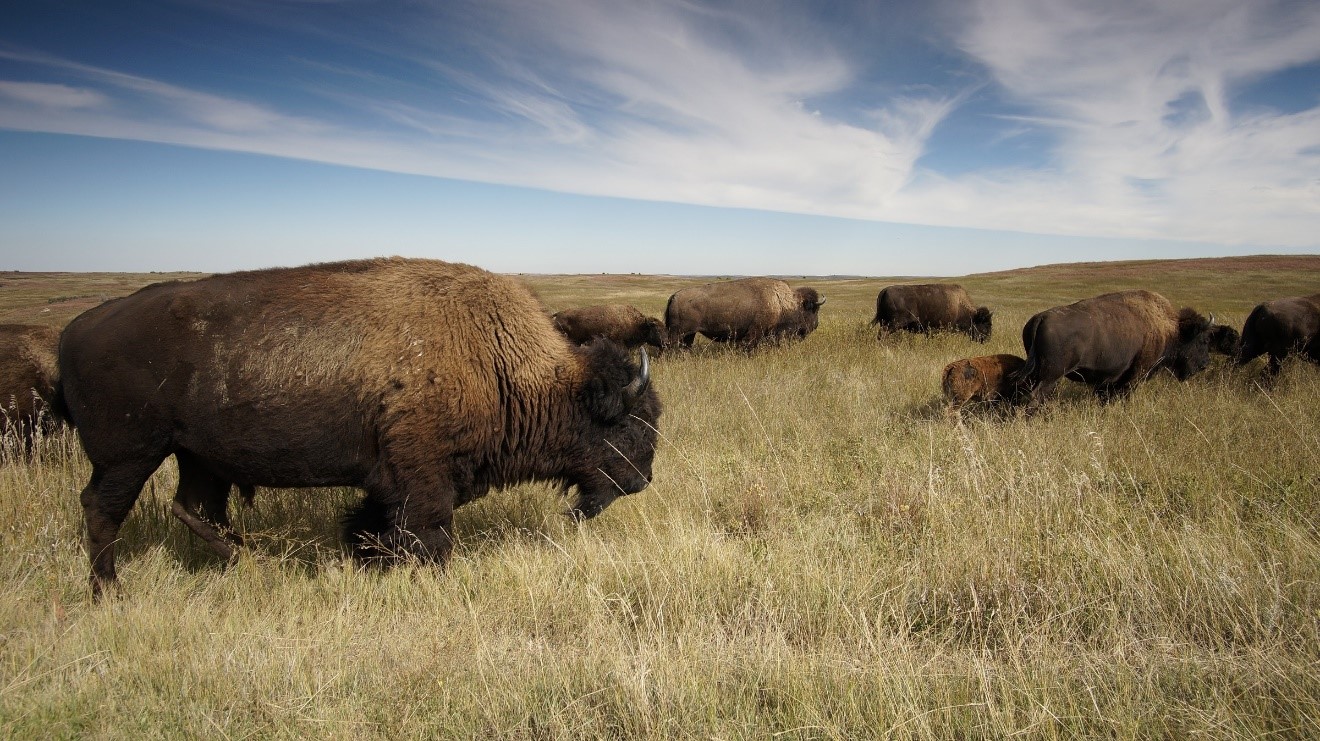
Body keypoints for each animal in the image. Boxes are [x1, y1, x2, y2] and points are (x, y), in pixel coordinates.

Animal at [58, 256, 665, 594]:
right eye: (631, 424)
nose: (642, 482)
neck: (502, 361)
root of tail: (76, 328)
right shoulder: (423, 478)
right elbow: (430, 533)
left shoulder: (388, 481)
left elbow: (372, 524)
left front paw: (365, 560)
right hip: (129, 455)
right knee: (103, 509)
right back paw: (109, 590)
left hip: (199, 456)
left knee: (194, 507)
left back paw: (248, 562)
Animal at [670, 277, 823, 348]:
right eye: (813, 310)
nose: (816, 325)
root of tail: (674, 296)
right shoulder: (755, 332)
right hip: (678, 333)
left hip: (689, 334)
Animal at [1013, 287, 1219, 409]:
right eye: (1203, 340)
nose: (1204, 364)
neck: (1169, 329)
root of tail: (1041, 317)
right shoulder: (1135, 375)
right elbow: (1125, 393)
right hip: (1051, 376)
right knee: (1035, 396)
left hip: (1036, 373)